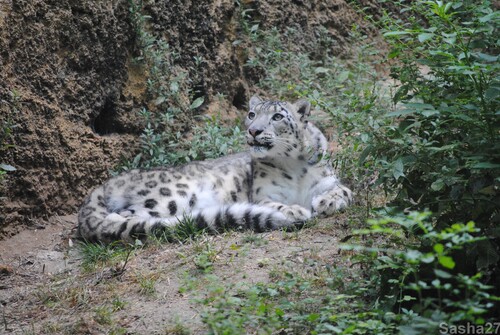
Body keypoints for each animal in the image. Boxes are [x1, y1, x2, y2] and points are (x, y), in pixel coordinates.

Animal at [77, 96, 352, 243]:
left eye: (277, 117)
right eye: (252, 114)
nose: (254, 131)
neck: (293, 166)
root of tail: (103, 185)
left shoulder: (329, 180)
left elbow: (345, 191)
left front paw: (327, 202)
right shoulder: (264, 195)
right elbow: (274, 203)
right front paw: (295, 210)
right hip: (172, 196)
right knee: (119, 218)